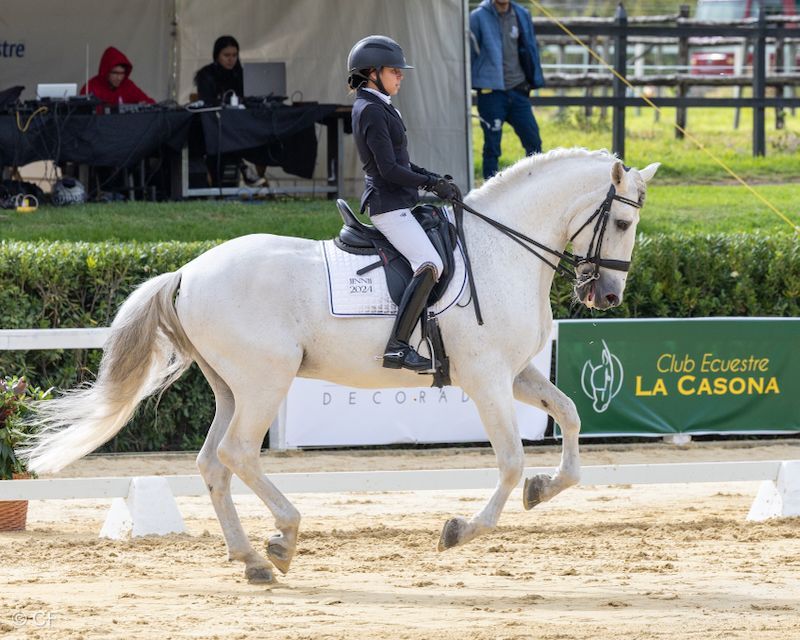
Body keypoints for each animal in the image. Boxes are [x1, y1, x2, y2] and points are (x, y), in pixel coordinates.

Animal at [20, 148, 659, 584]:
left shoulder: (516, 373)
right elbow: (509, 460)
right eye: (623, 224)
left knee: (212, 462)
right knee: (237, 453)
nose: (608, 296)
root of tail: (187, 273)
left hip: (230, 386)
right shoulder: (486, 380)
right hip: (265, 380)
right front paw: (460, 531)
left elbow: (571, 418)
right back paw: (283, 538)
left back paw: (250, 558)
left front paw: (543, 489)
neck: (501, 253)